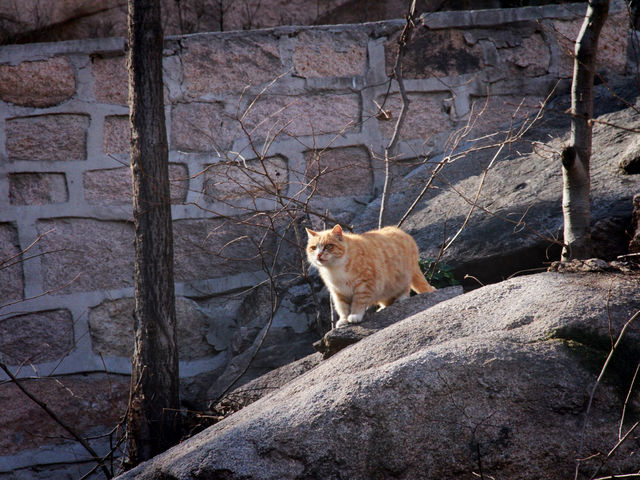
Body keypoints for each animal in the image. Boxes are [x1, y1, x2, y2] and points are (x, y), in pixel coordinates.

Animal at [304, 224, 436, 328]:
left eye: (328, 246)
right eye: (313, 248)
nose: (319, 255)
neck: (335, 269)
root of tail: (402, 231)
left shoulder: (364, 284)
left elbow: (358, 302)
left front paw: (355, 315)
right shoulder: (338, 292)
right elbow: (342, 307)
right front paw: (343, 320)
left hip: (401, 277)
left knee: (406, 289)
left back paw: (401, 298)